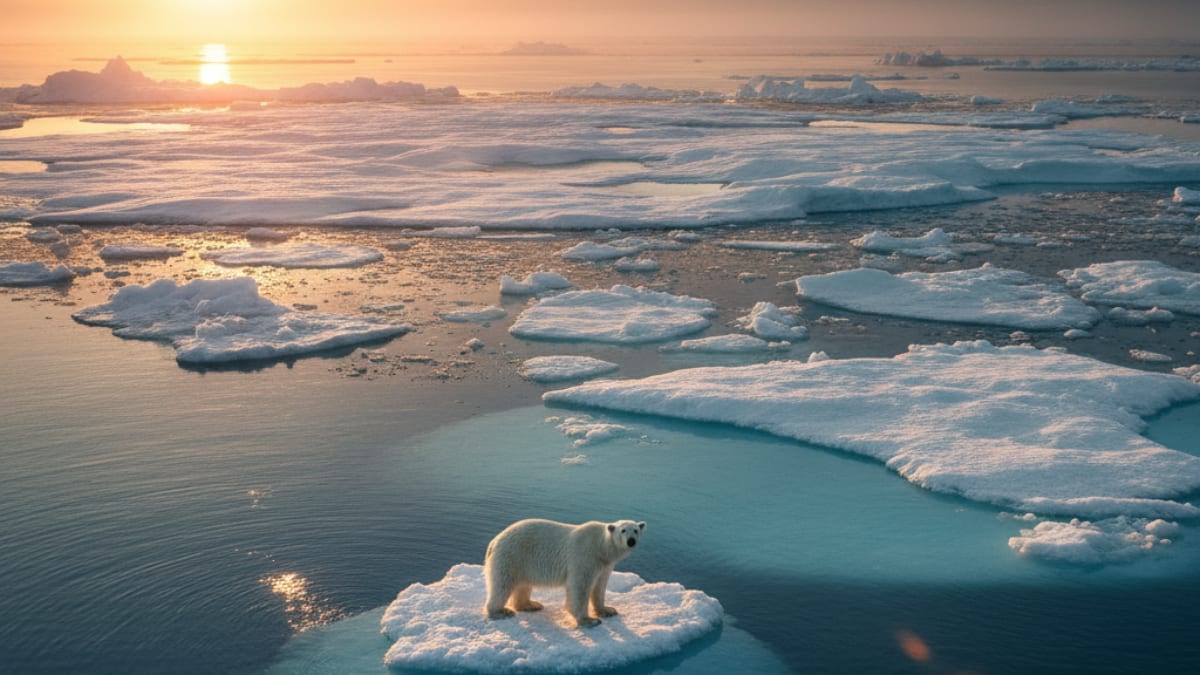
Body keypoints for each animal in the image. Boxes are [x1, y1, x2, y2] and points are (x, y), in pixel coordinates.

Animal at [483, 518, 645, 628]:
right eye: (623, 530)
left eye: (636, 530)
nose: (631, 541)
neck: (601, 547)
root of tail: (494, 541)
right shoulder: (585, 556)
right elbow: (580, 586)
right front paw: (589, 620)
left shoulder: (604, 565)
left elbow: (600, 586)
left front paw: (607, 610)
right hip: (511, 556)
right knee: (502, 584)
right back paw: (501, 611)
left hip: (522, 563)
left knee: (522, 585)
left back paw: (531, 605)